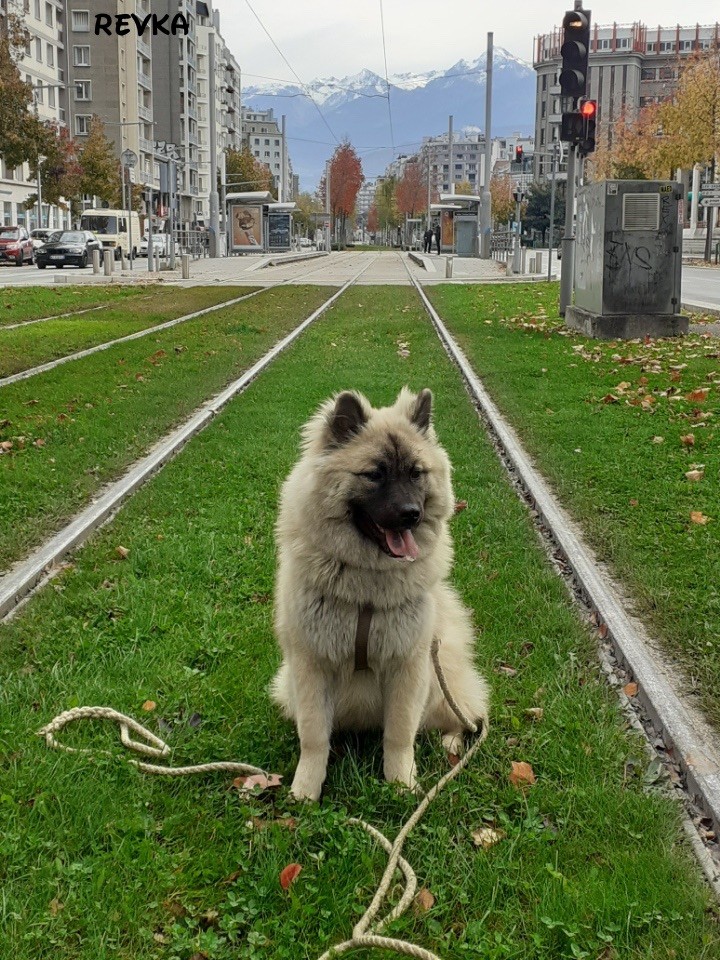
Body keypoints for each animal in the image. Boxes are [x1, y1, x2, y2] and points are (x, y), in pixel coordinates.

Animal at [270, 386, 490, 800]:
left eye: (416, 473)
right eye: (374, 474)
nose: (411, 513)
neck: (367, 587)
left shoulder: (409, 666)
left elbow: (399, 735)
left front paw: (401, 784)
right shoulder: (309, 667)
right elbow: (314, 738)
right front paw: (306, 790)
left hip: (440, 684)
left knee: (463, 716)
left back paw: (452, 743)